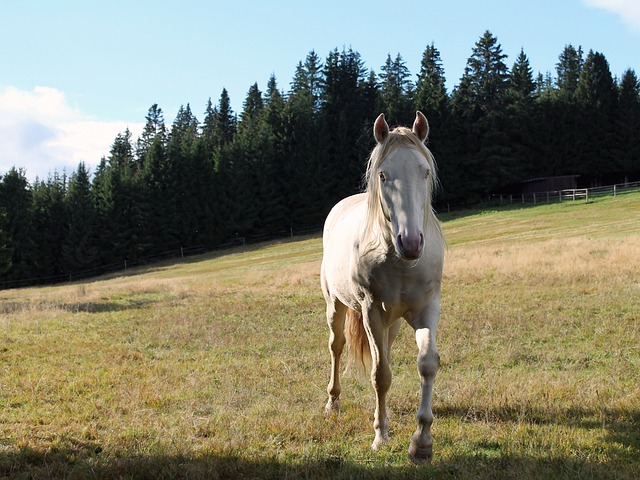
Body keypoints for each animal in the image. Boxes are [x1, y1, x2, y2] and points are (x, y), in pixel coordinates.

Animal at [320, 110, 444, 464]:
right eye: (383, 175)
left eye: (424, 171)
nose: (412, 243)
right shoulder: (371, 311)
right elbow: (380, 375)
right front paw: (380, 435)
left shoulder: (427, 309)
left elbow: (427, 364)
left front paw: (422, 442)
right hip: (336, 306)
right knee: (337, 347)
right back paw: (333, 401)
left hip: (393, 322)